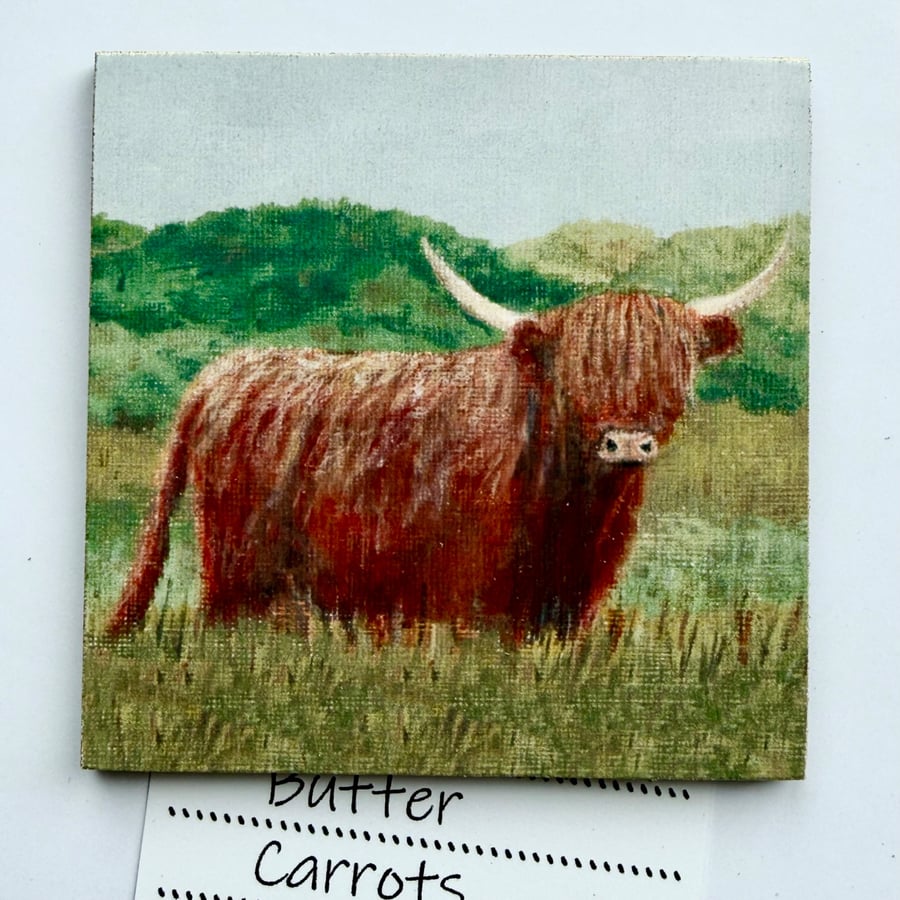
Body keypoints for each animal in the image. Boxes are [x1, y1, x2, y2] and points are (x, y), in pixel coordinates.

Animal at [107, 233, 789, 643]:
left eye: (674, 375)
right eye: (578, 377)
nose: (626, 444)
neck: (575, 517)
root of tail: (220, 374)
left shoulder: (568, 609)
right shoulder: (469, 607)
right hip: (239, 574)